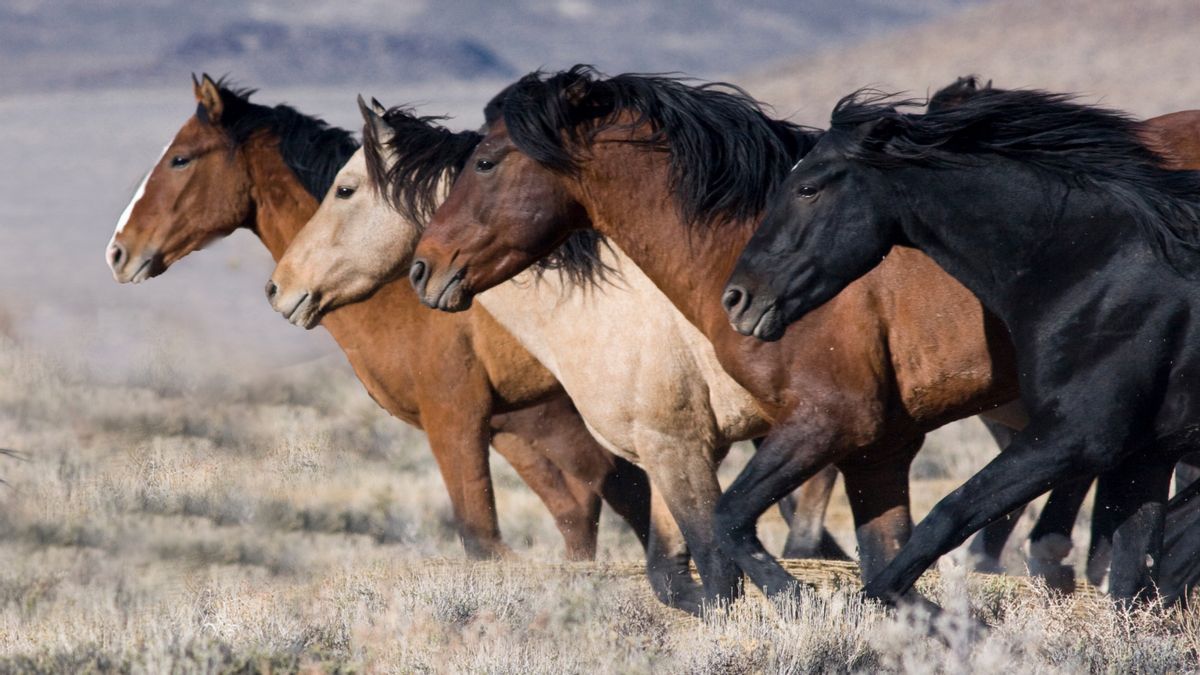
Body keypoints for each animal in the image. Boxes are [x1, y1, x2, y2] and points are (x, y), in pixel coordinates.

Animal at [103, 74, 654, 565]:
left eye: (180, 158)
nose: (117, 252)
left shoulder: (457, 420)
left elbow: (485, 537)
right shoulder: (519, 422)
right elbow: (579, 514)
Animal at [728, 86, 1200, 604]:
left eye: (807, 188)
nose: (737, 298)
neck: (1097, 267)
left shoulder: (1076, 438)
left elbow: (945, 518)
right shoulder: (1144, 458)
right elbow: (1133, 578)